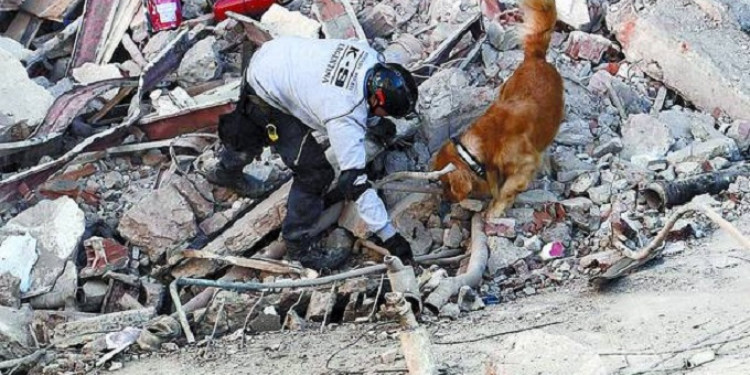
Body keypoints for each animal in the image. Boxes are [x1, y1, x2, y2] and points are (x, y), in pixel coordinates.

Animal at [434, 0, 564, 220]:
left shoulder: (525, 165)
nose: (443, 198)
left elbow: (507, 189)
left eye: (445, 184)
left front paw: (495, 209)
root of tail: (536, 57)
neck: (487, 140)